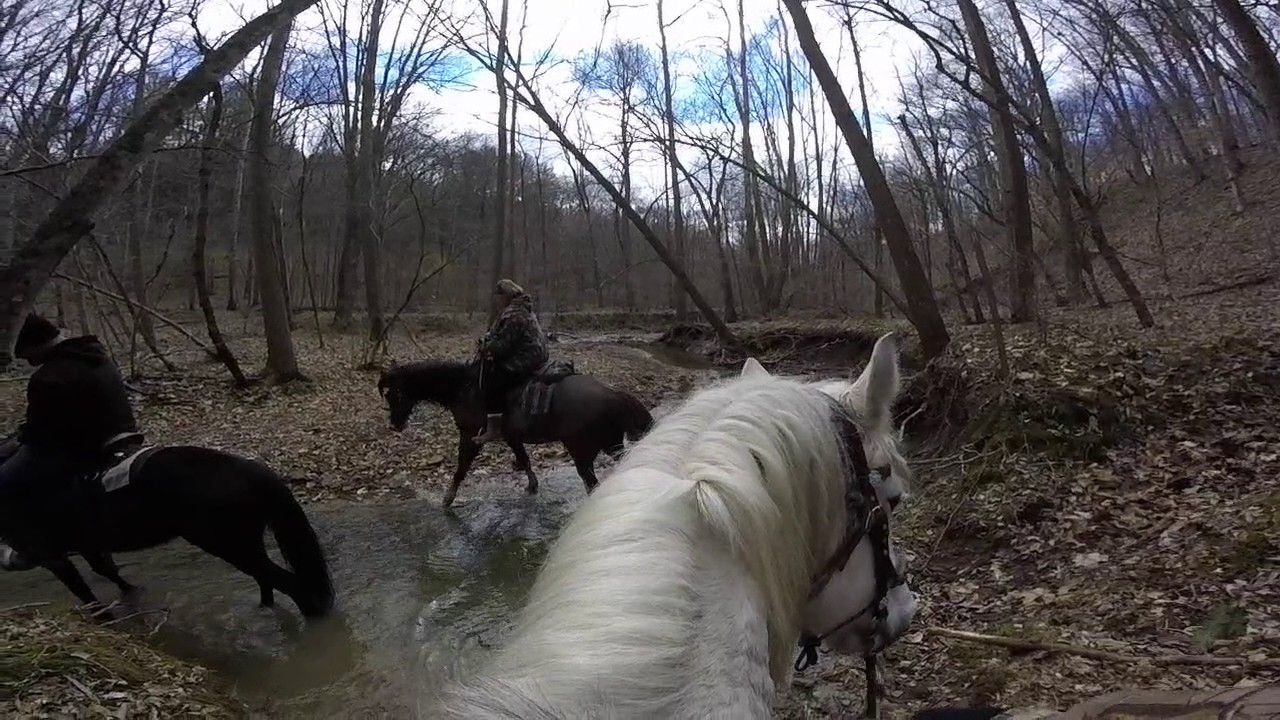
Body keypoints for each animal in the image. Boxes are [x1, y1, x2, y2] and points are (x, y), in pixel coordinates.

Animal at [0, 441, 335, 621]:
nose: (10, 559)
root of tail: (248, 470)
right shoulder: (87, 545)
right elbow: (106, 570)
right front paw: (131, 595)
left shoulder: (52, 556)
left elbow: (87, 593)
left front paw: (108, 620)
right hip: (245, 544)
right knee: (267, 578)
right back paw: (264, 609)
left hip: (229, 545)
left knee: (289, 583)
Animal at [377, 358, 653, 507]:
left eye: (396, 393)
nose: (394, 425)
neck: (464, 387)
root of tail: (612, 394)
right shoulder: (512, 437)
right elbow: (524, 459)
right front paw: (531, 486)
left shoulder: (471, 437)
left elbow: (461, 468)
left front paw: (447, 500)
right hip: (611, 445)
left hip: (583, 453)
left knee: (592, 483)